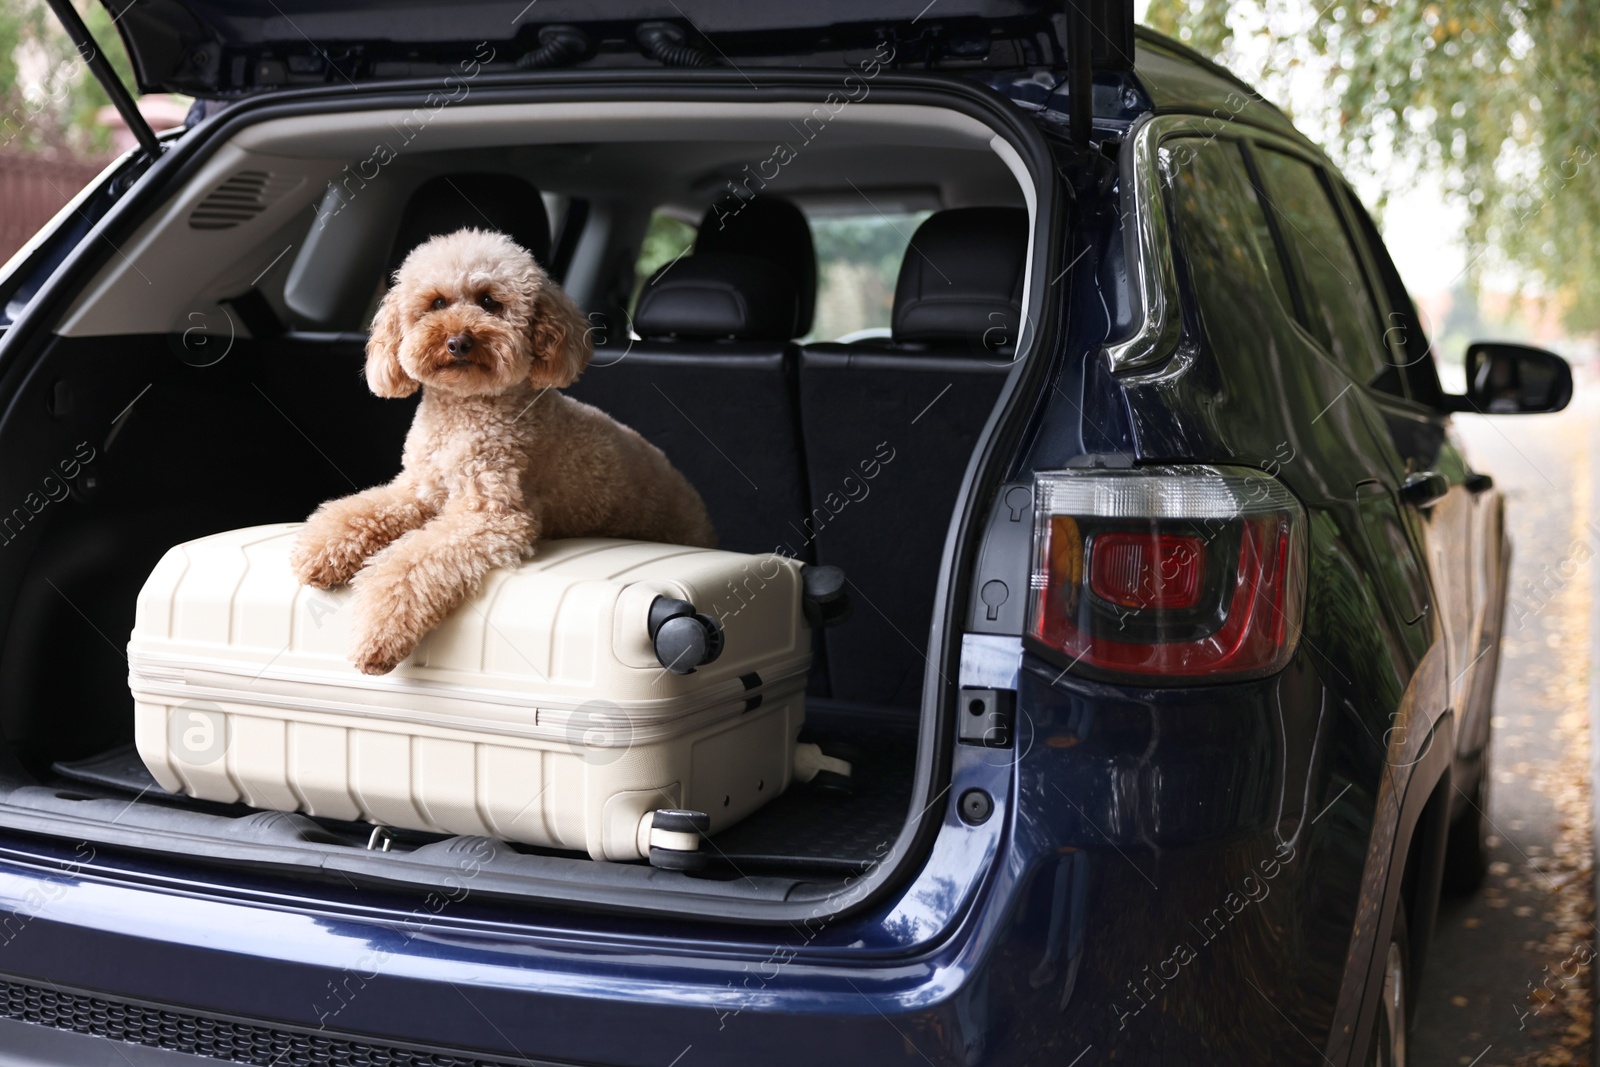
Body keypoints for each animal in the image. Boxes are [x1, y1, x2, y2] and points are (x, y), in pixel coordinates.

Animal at [291, 228, 716, 671]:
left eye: (489, 302)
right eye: (437, 303)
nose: (458, 342)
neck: (463, 411)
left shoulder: (492, 514)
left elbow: (411, 562)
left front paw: (378, 632)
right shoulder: (419, 490)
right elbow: (361, 510)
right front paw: (321, 550)